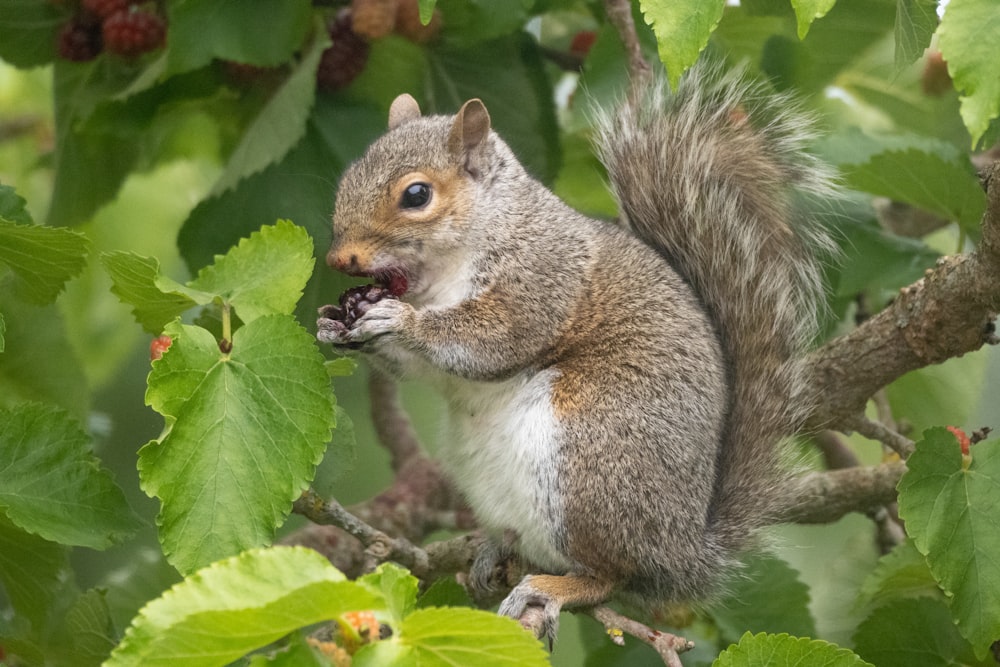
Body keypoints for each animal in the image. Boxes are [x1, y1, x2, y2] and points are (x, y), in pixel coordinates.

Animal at [316, 64, 832, 640]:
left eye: (417, 195)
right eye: (349, 176)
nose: (339, 259)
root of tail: (683, 553)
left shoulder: (541, 279)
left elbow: (493, 338)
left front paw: (398, 321)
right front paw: (333, 324)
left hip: (590, 461)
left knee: (611, 576)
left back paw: (555, 586)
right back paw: (495, 552)